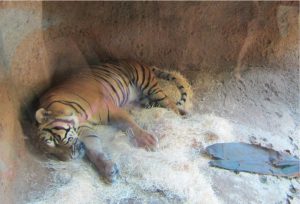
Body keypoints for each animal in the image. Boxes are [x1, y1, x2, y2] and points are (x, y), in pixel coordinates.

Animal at [34, 59, 190, 182]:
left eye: (54, 141)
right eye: (52, 154)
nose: (70, 158)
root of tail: (139, 62)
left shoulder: (110, 109)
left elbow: (130, 125)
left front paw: (148, 141)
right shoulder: (85, 130)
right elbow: (94, 150)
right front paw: (108, 169)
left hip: (148, 86)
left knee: (169, 102)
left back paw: (179, 116)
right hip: (146, 100)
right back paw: (184, 113)